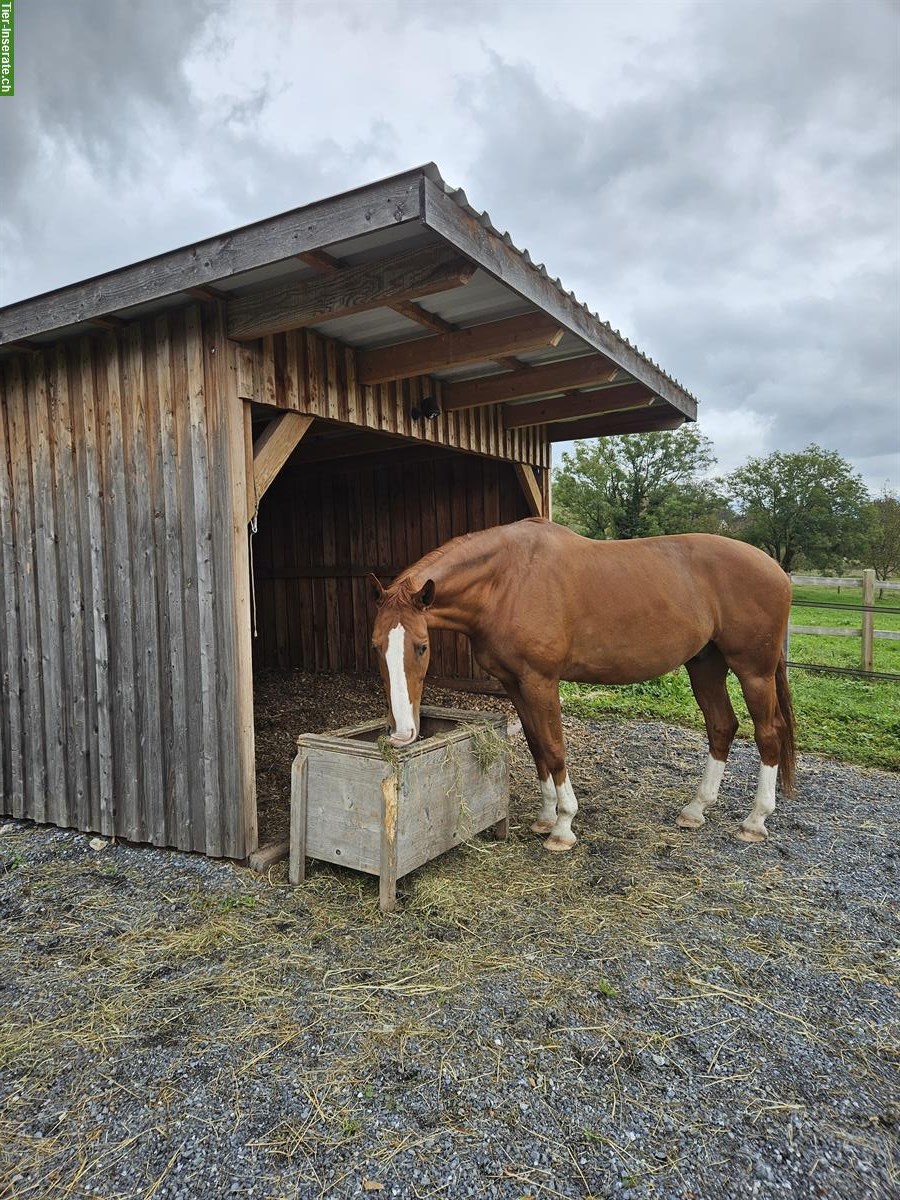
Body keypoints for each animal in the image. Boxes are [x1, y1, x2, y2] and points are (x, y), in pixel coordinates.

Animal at [372, 520, 796, 849]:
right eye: (376, 646)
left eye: (422, 646)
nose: (401, 734)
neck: (508, 581)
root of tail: (775, 568)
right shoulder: (515, 683)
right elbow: (536, 746)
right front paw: (545, 817)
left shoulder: (541, 682)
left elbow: (555, 748)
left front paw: (562, 826)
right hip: (705, 665)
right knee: (722, 726)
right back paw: (696, 809)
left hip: (753, 671)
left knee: (768, 734)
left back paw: (755, 821)